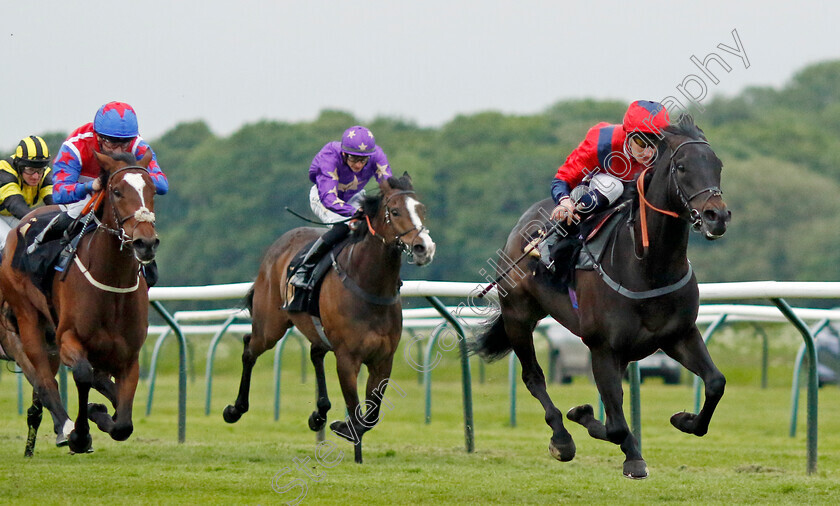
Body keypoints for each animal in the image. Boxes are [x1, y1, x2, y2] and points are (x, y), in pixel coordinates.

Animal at [0, 150, 159, 454]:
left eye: (152, 190)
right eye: (117, 191)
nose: (145, 243)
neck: (112, 283)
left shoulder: (129, 356)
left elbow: (123, 424)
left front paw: (100, 412)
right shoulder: (66, 338)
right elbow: (82, 375)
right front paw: (80, 434)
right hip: (27, 322)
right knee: (45, 381)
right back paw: (65, 427)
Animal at [220, 174, 436, 462]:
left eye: (421, 210)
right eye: (395, 211)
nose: (424, 248)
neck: (370, 287)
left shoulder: (383, 360)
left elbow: (371, 415)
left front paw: (342, 429)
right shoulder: (347, 358)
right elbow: (356, 410)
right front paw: (352, 446)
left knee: (315, 353)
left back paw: (319, 413)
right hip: (270, 327)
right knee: (249, 348)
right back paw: (235, 409)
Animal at [476, 114, 732, 478]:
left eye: (717, 164)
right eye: (682, 166)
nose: (717, 216)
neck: (648, 266)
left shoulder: (679, 335)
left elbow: (715, 383)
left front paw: (684, 419)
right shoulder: (602, 348)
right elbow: (615, 425)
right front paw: (626, 452)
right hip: (518, 316)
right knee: (533, 377)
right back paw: (562, 439)